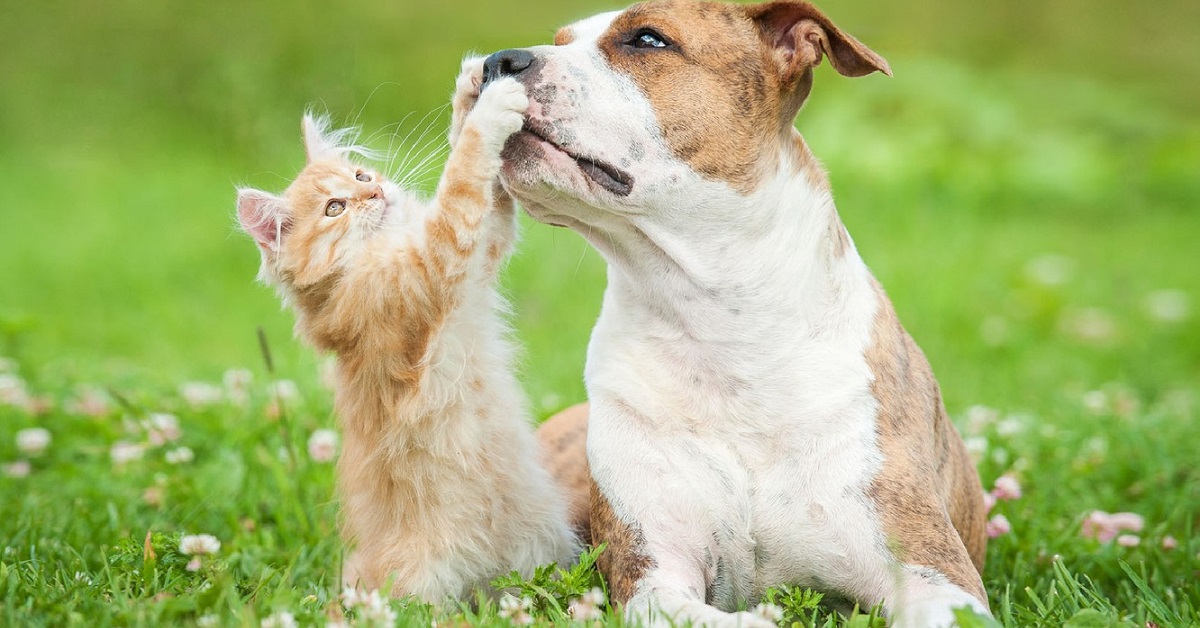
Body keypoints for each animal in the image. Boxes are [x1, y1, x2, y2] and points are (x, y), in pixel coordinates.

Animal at [234, 66, 580, 602]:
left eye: (361, 177)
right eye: (335, 208)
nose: (375, 193)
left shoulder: (479, 256)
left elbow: (486, 197)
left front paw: (470, 90)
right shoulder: (428, 268)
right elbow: (461, 179)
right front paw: (490, 108)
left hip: (545, 545)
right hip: (421, 583)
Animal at [482, 2, 988, 624]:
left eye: (647, 39)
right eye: (560, 40)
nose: (496, 61)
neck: (721, 327)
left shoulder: (938, 577)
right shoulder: (654, 571)